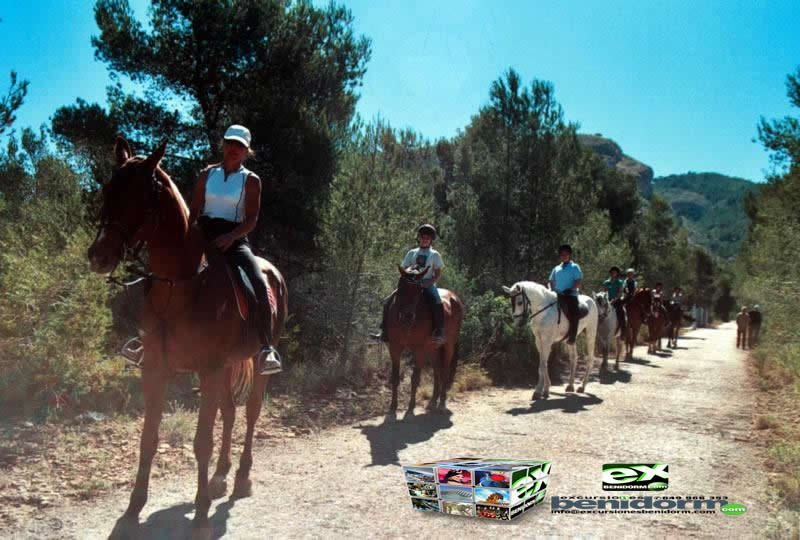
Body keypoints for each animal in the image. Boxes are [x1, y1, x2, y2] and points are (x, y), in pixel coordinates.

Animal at [86, 138, 288, 536]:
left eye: (141, 197)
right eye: (108, 190)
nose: (98, 255)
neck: (181, 286)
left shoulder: (208, 370)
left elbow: (201, 442)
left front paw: (201, 516)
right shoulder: (157, 370)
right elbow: (148, 440)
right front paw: (132, 510)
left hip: (253, 367)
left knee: (251, 413)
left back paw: (241, 478)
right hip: (226, 367)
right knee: (230, 412)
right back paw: (220, 476)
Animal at [386, 268, 462, 420]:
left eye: (418, 290)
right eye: (401, 286)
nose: (407, 315)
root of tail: (454, 298)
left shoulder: (419, 350)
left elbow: (415, 379)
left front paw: (410, 410)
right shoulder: (395, 347)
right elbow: (395, 378)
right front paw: (392, 409)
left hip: (448, 345)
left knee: (444, 371)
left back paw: (442, 404)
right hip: (433, 349)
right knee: (437, 371)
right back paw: (432, 402)